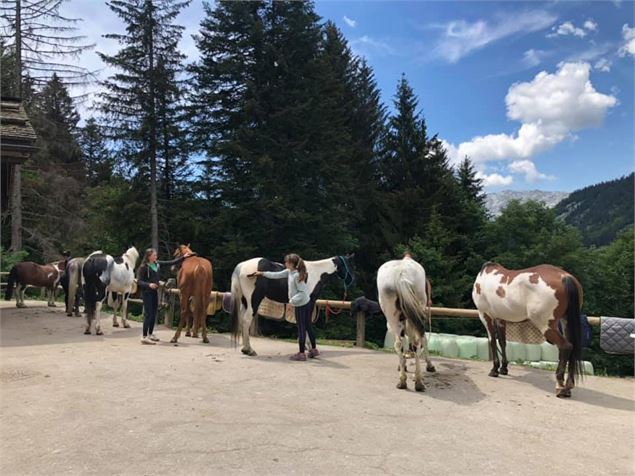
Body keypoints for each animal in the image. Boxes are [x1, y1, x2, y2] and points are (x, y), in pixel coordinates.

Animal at [230, 255, 358, 356]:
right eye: (351, 265)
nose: (352, 280)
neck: (316, 272)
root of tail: (242, 265)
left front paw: (305, 346)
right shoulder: (310, 302)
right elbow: (307, 321)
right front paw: (310, 347)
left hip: (244, 301)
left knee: (242, 319)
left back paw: (244, 348)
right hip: (253, 301)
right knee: (246, 320)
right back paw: (249, 350)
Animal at [378, 258, 438, 392]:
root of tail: (401, 275)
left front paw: (403, 365)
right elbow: (422, 340)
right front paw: (430, 365)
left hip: (393, 318)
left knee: (399, 344)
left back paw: (403, 381)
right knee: (417, 342)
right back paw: (418, 382)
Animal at [470, 264, 584, 398]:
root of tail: (564, 276)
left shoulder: (485, 316)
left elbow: (492, 341)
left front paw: (494, 370)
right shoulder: (501, 319)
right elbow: (503, 342)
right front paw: (503, 368)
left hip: (546, 325)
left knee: (566, 346)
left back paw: (561, 387)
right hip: (566, 322)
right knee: (573, 348)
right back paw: (568, 387)